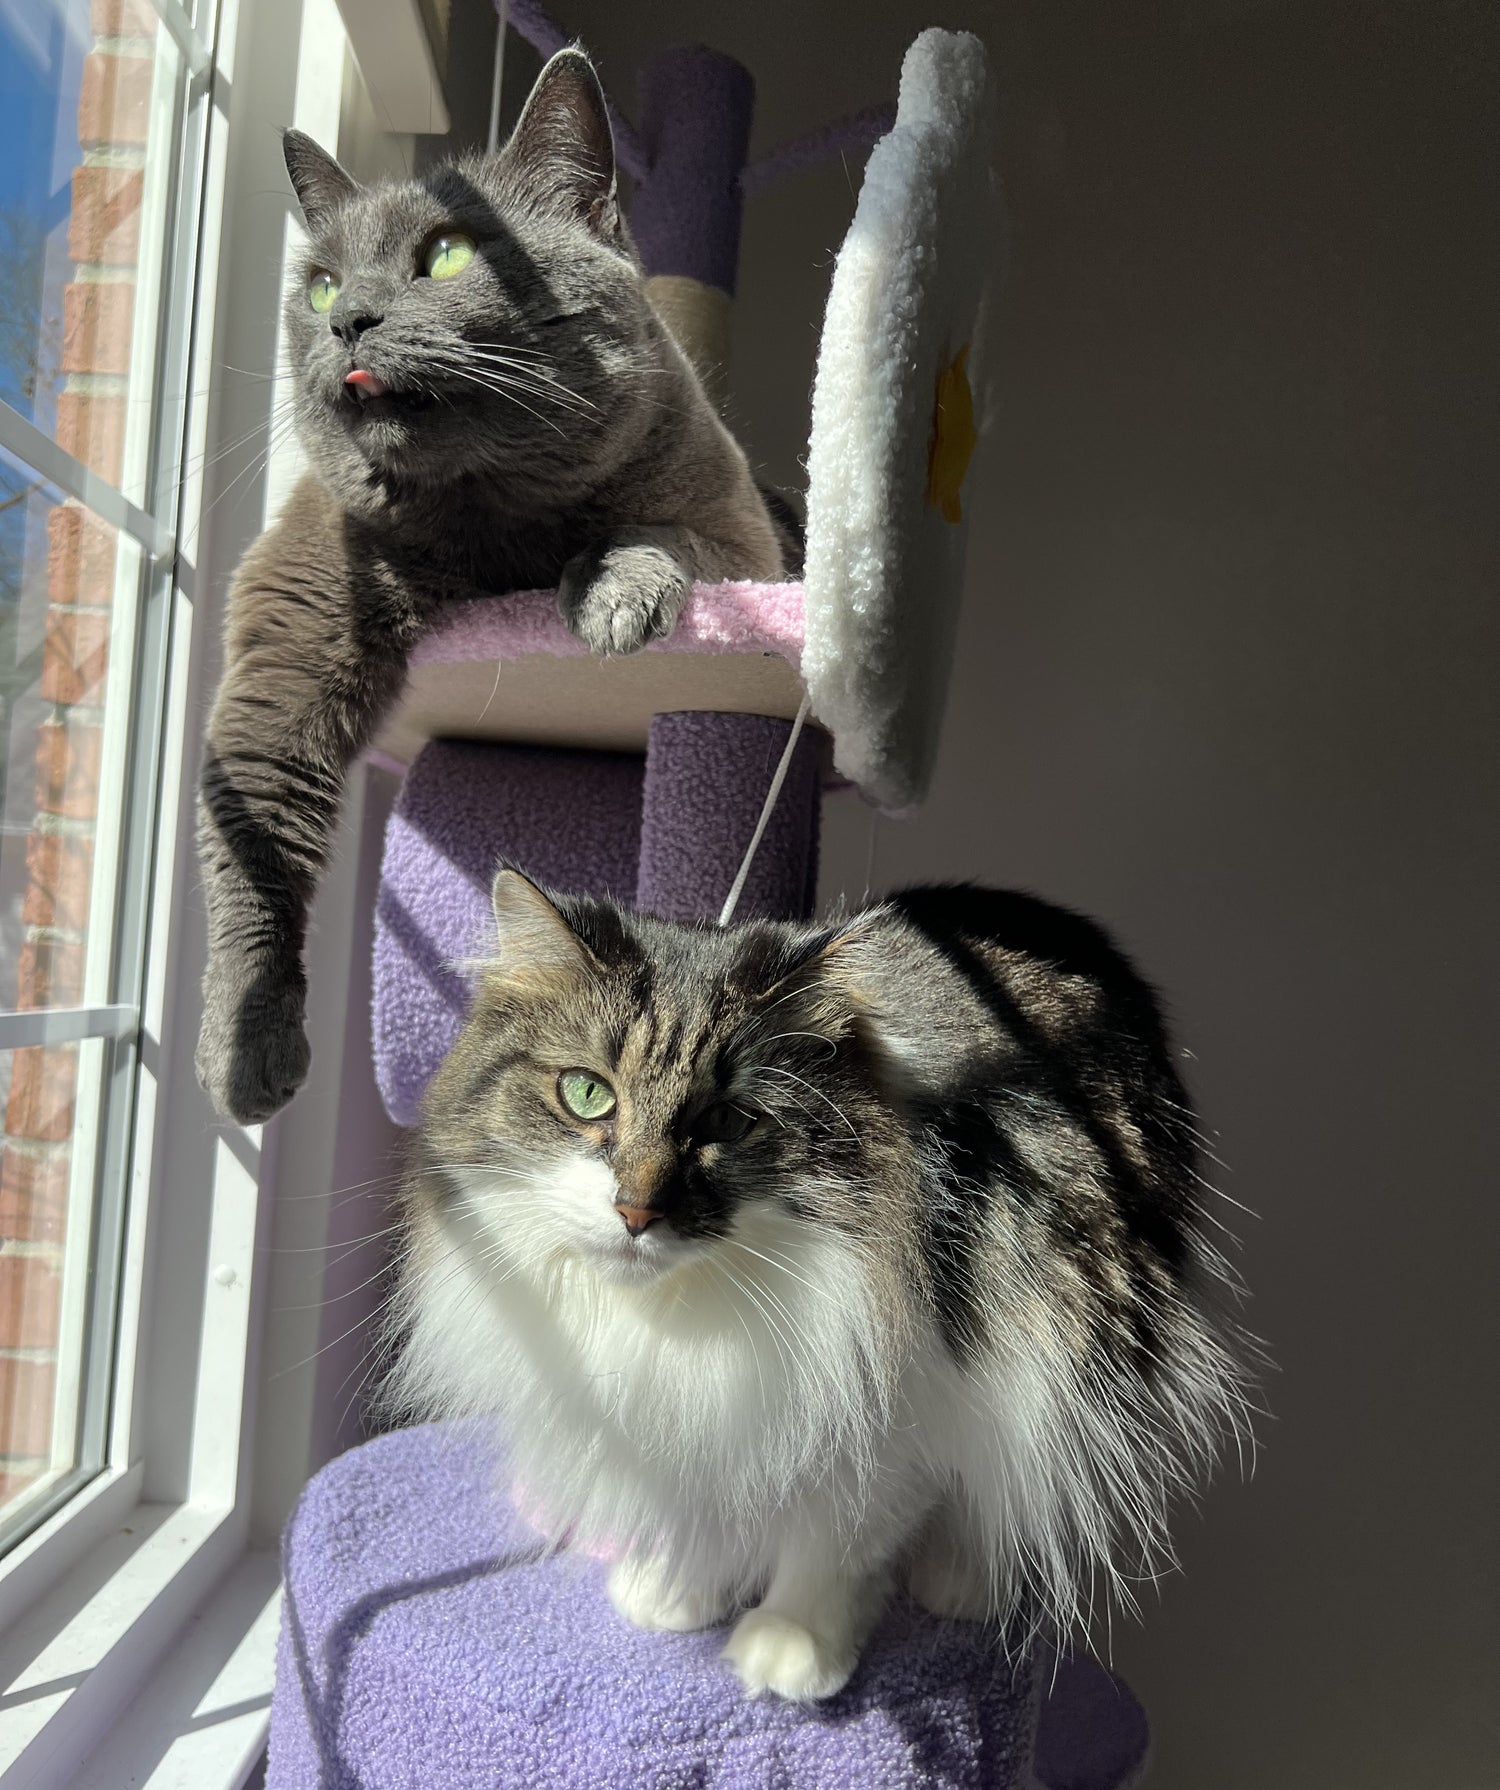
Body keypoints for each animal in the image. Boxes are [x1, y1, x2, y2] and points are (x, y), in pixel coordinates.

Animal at [194, 49, 791, 1124]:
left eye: (445, 256)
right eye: (320, 285)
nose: (348, 319)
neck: (491, 529)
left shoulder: (743, 542)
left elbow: (662, 531)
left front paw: (614, 599)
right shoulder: (297, 611)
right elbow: (251, 814)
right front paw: (246, 1047)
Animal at [390, 873, 1260, 1696]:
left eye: (727, 1122)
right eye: (587, 1093)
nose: (636, 1211)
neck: (678, 1316)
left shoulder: (898, 1417)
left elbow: (838, 1550)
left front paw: (792, 1648)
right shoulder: (700, 1419)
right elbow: (707, 1510)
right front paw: (675, 1593)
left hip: (1065, 1345)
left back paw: (963, 1585)